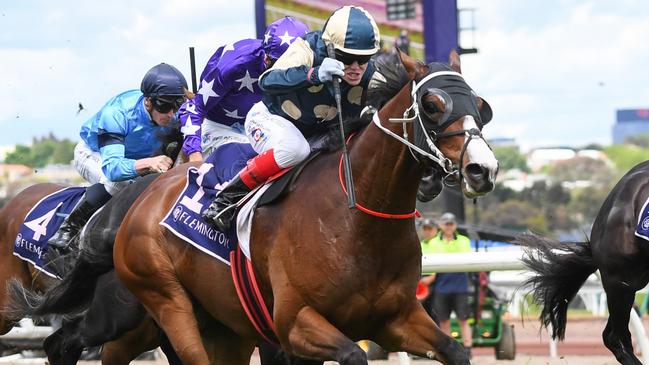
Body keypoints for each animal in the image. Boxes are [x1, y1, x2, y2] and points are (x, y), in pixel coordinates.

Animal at [111, 49, 496, 364]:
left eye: (480, 106)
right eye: (432, 105)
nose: (483, 170)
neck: (358, 221)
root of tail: (148, 190)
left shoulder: (396, 319)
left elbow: (455, 350)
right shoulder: (294, 323)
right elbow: (354, 354)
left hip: (224, 327)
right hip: (167, 301)